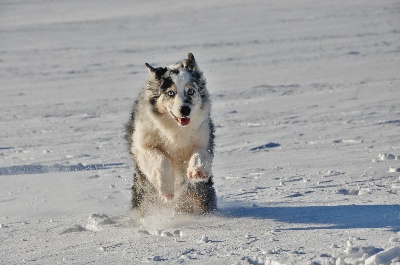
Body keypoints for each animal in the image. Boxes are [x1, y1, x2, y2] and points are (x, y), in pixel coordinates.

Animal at [126, 52, 217, 216]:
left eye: (191, 91)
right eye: (170, 93)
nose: (185, 109)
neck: (175, 129)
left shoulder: (204, 139)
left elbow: (200, 153)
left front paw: (197, 171)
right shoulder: (142, 145)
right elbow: (161, 160)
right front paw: (167, 190)